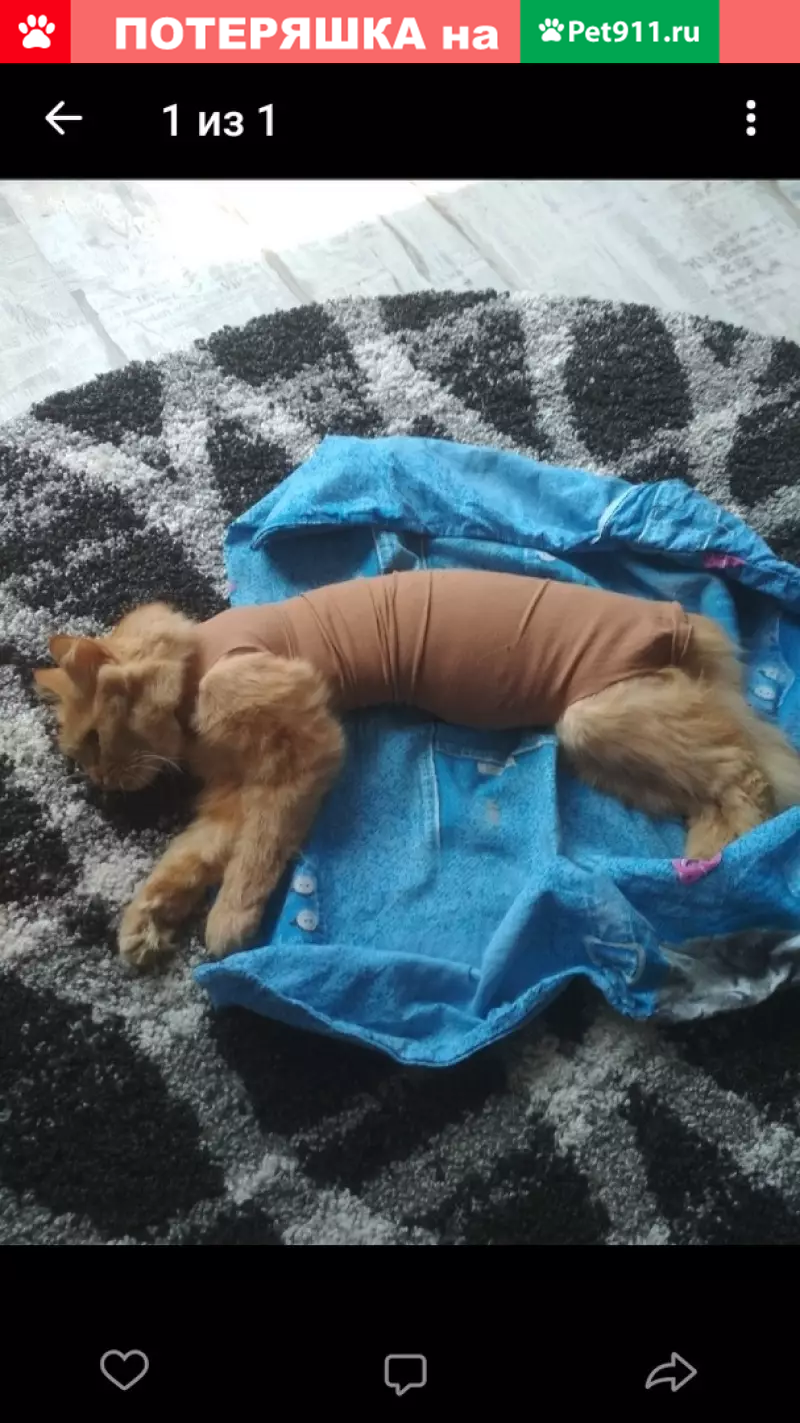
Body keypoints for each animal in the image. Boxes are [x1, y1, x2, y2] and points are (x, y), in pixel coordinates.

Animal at [33, 569, 800, 969]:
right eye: (80, 753)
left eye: (96, 738)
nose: (100, 784)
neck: (195, 668)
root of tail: (693, 628)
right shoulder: (233, 798)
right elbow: (182, 861)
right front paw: (145, 926)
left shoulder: (304, 747)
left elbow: (257, 854)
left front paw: (227, 925)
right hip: (598, 741)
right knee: (722, 779)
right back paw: (698, 863)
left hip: (600, 719)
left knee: (743, 775)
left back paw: (709, 872)